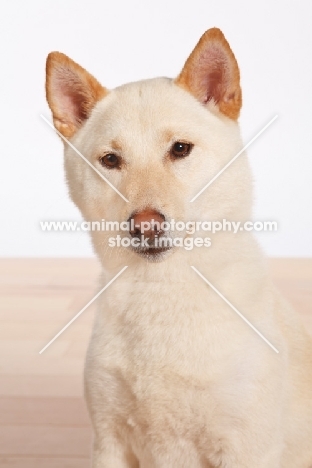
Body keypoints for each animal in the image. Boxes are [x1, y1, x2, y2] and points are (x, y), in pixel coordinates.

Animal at [44, 27, 312, 466]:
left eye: (180, 149)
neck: (160, 292)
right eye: (110, 160)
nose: (145, 226)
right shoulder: (108, 442)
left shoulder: (247, 449)